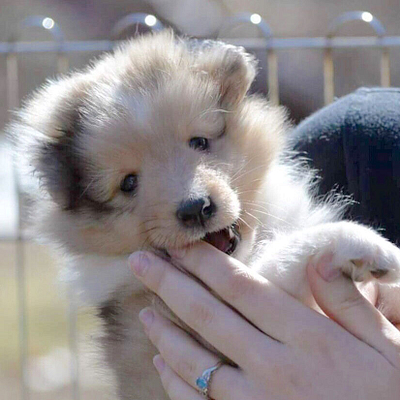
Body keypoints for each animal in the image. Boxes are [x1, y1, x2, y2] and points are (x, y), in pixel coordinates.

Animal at [8, 29, 400, 398]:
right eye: (129, 183)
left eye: (199, 142)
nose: (196, 208)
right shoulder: (197, 330)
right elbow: (282, 259)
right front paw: (364, 245)